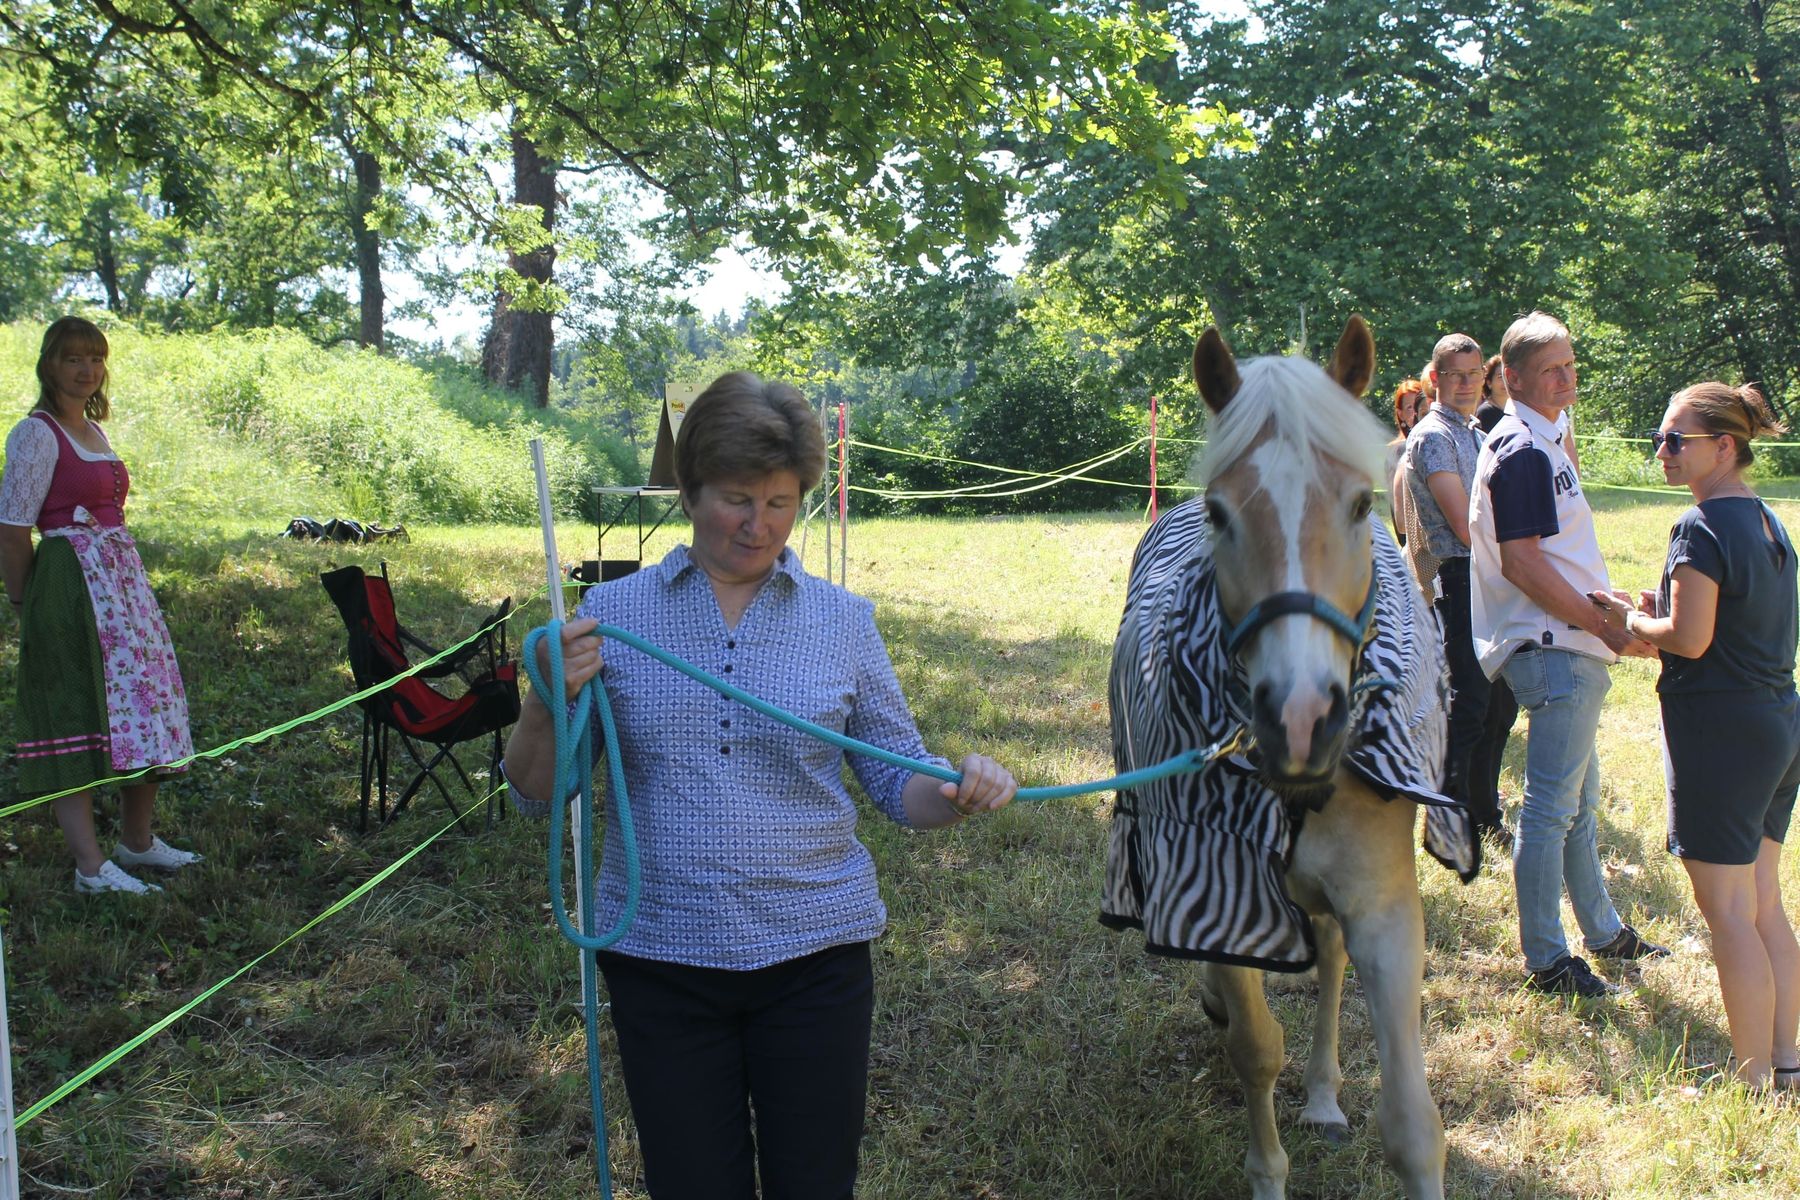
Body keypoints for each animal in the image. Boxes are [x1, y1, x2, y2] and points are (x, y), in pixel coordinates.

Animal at [1094, 316, 1476, 1200]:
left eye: (1363, 503)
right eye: (1219, 512)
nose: (1302, 720)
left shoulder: (1384, 906)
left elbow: (1414, 1125)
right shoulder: (1221, 884)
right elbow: (1255, 1047)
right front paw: (1267, 1172)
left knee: (1329, 960)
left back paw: (1328, 1095)